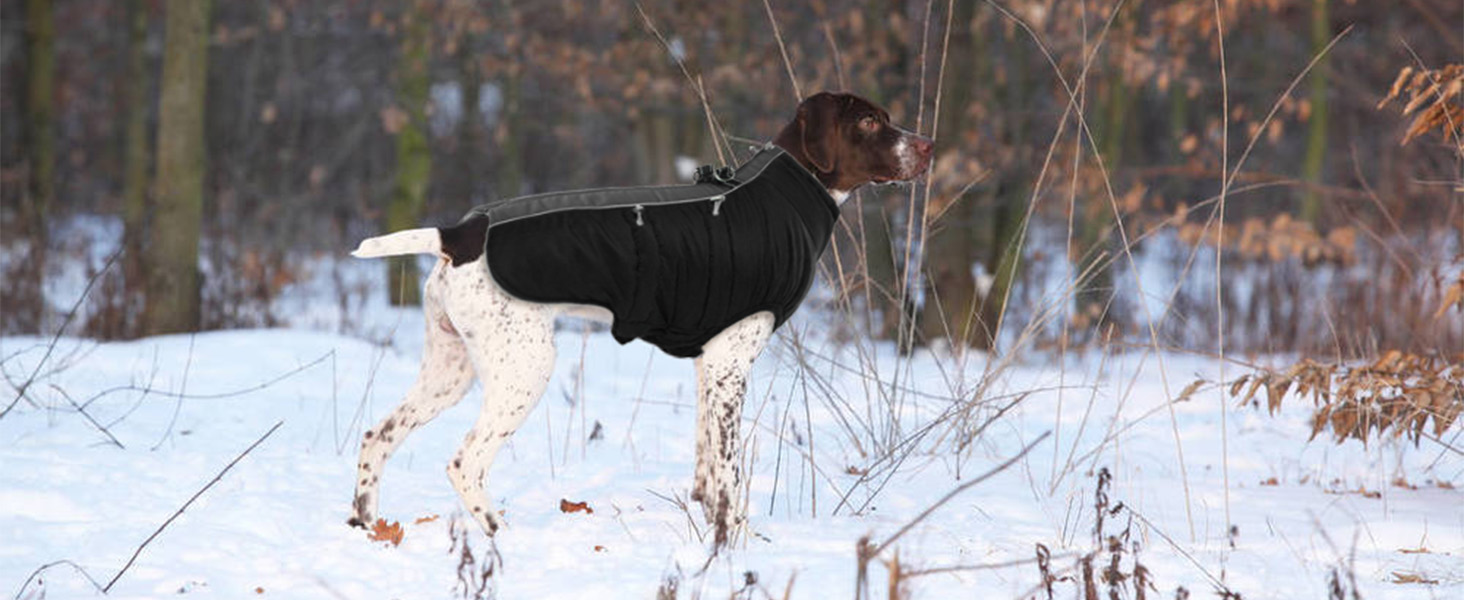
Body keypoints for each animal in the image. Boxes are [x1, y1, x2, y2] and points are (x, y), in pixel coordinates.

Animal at [348, 91, 931, 547]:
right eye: (869, 122)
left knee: (377, 435)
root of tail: (460, 234)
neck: (787, 194)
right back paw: (497, 535)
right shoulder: (730, 364)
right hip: (524, 370)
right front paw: (737, 544)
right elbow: (729, 474)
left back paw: (367, 525)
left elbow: (707, 472)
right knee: (464, 462)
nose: (926, 146)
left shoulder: (710, 366)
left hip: (451, 370)